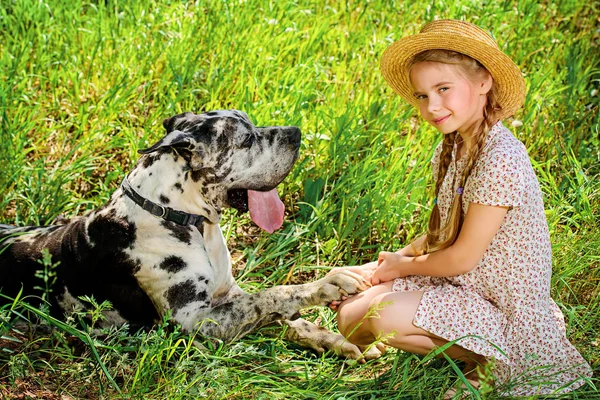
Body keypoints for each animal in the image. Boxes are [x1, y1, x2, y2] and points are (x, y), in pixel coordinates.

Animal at [0, 111, 382, 360]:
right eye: (247, 140)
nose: (296, 132)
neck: (183, 217)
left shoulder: (229, 295)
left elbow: (283, 315)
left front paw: (337, 340)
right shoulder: (197, 319)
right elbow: (273, 296)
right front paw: (326, 284)